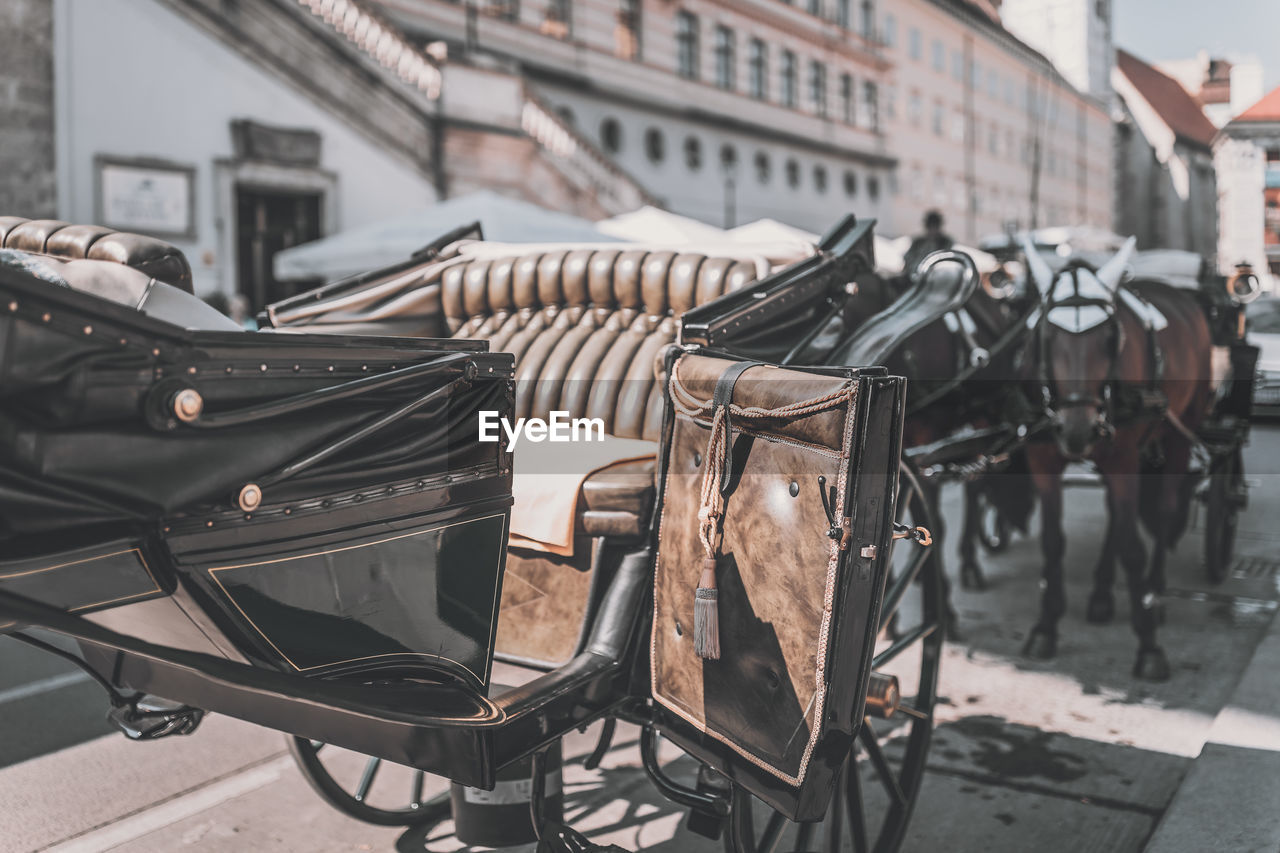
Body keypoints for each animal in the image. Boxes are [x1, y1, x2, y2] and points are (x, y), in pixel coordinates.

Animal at [1013, 235, 1213, 681]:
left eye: (1110, 339)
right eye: (1047, 337)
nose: (1078, 430)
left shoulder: (1124, 459)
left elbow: (1133, 546)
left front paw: (1149, 645)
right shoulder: (1042, 458)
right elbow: (1053, 540)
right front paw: (1046, 625)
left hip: (1179, 431)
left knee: (1163, 508)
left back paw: (1154, 594)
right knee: (1114, 517)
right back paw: (1103, 592)